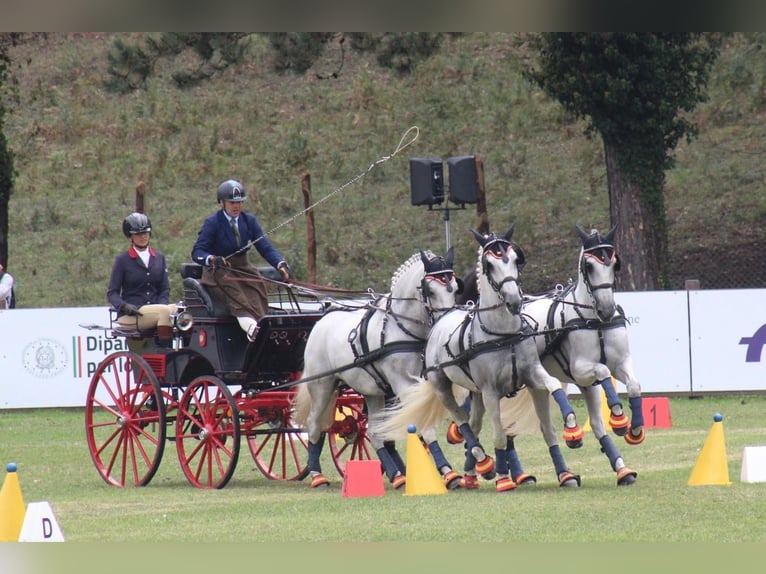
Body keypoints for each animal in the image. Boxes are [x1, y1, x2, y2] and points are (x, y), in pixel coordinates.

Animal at [294, 249, 462, 490]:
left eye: (455, 288)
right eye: (430, 290)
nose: (444, 324)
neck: (400, 328)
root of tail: (322, 320)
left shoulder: (420, 383)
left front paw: (445, 472)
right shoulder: (403, 384)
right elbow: (423, 425)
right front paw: (449, 474)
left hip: (371, 392)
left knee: (373, 431)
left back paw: (397, 476)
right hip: (322, 386)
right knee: (314, 424)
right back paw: (317, 475)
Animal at [376, 227, 584, 492]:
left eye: (515, 259)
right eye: (489, 264)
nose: (514, 301)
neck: (503, 334)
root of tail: (442, 319)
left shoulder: (532, 374)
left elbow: (553, 396)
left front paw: (572, 436)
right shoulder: (490, 391)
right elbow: (499, 434)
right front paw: (503, 479)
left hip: (475, 393)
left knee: (472, 424)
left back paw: (470, 474)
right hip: (444, 387)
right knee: (462, 422)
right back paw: (482, 464)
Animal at [508, 225, 644, 486]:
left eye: (615, 263)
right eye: (589, 266)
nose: (607, 309)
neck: (595, 321)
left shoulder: (620, 363)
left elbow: (634, 385)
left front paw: (633, 429)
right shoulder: (580, 369)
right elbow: (602, 369)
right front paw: (618, 416)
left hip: (575, 387)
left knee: (597, 425)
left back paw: (622, 469)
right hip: (533, 386)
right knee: (542, 429)